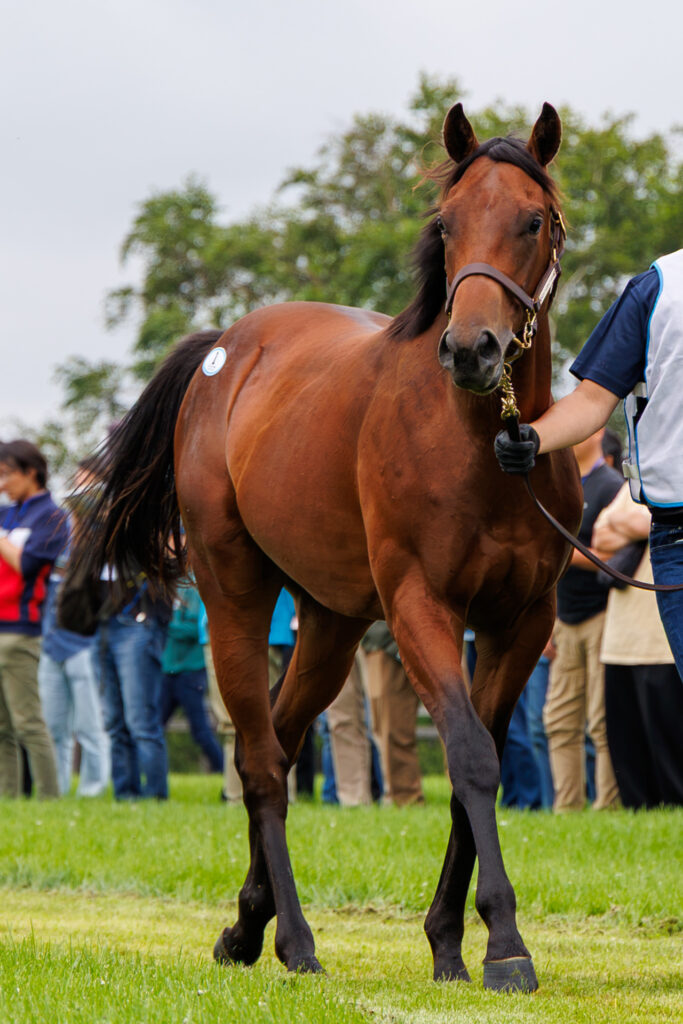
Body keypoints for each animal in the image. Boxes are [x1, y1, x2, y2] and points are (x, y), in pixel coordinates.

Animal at [63, 101, 581, 992]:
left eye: (533, 220)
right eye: (445, 224)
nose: (471, 349)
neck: (485, 447)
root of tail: (227, 347)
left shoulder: (523, 621)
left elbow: (468, 770)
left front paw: (450, 941)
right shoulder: (419, 607)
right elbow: (472, 760)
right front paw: (505, 945)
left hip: (331, 623)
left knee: (279, 734)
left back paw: (248, 923)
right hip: (237, 595)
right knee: (262, 763)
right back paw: (294, 940)